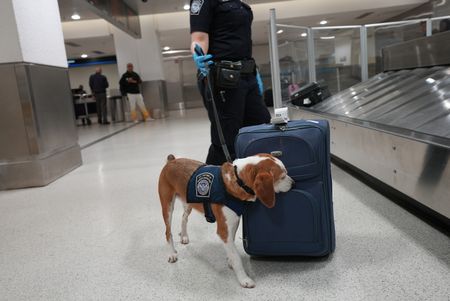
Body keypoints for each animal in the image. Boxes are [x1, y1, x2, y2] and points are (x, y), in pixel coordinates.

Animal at [158, 154, 296, 288]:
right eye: (282, 177)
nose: (294, 183)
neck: (238, 180)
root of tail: (172, 161)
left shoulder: (233, 222)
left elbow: (232, 246)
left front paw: (230, 260)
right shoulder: (224, 230)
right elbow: (236, 257)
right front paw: (244, 279)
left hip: (188, 203)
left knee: (183, 218)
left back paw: (184, 236)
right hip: (167, 206)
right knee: (167, 232)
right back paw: (172, 253)